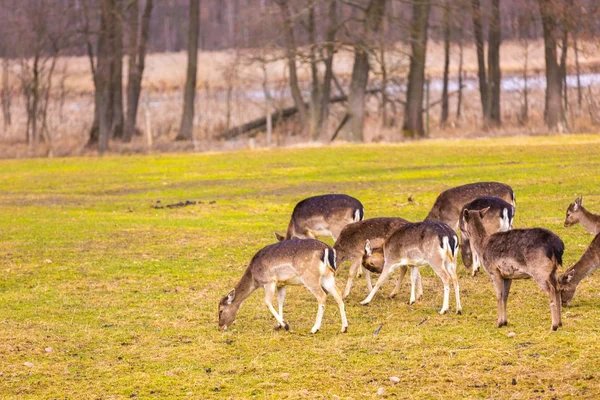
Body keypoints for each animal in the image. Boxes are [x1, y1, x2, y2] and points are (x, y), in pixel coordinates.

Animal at [217, 238, 346, 334]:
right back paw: (344, 327)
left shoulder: (269, 281)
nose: (220, 327)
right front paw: (279, 324)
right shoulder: (281, 283)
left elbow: (267, 301)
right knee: (338, 294)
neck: (254, 277)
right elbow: (280, 301)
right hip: (327, 277)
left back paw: (314, 329)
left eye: (221, 310)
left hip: (310, 276)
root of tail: (327, 249)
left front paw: (286, 325)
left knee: (322, 296)